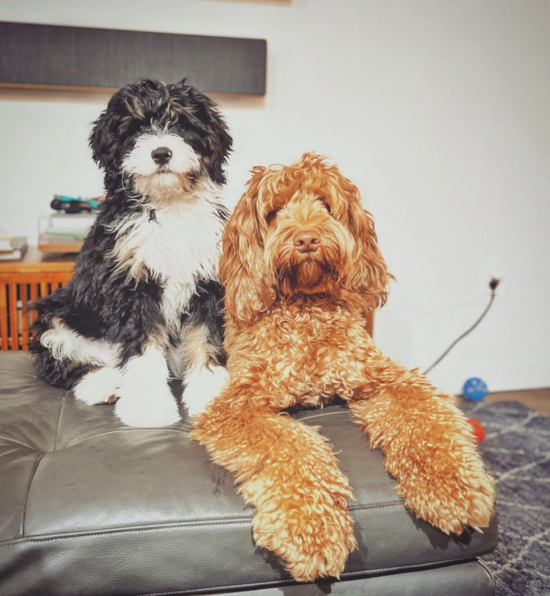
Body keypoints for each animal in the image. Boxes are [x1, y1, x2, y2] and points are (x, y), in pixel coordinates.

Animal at [31, 79, 233, 428]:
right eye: (136, 128)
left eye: (181, 123)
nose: (161, 153)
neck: (168, 205)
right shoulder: (132, 285)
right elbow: (142, 350)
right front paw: (147, 407)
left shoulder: (207, 282)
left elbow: (205, 342)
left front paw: (211, 398)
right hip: (57, 315)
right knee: (61, 364)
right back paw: (104, 385)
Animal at [192, 152, 498, 584]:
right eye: (274, 212)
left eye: (324, 204)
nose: (306, 239)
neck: (306, 309)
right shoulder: (238, 404)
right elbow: (292, 444)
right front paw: (313, 531)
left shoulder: (384, 378)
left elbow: (425, 421)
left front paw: (452, 489)